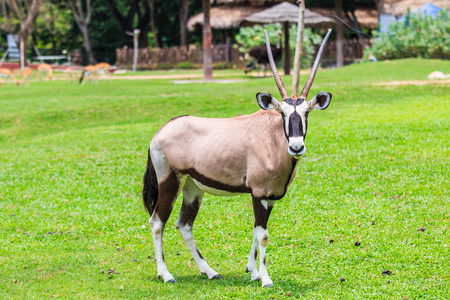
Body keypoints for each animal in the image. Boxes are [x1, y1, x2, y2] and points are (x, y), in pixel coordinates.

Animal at [144, 28, 334, 288]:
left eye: (306, 112)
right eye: (282, 113)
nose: (296, 146)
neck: (272, 138)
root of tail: (159, 132)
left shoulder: (269, 198)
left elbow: (256, 230)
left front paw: (253, 271)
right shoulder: (259, 193)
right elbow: (262, 235)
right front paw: (265, 278)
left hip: (193, 187)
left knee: (184, 225)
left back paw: (209, 271)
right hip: (170, 181)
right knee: (157, 223)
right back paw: (166, 274)